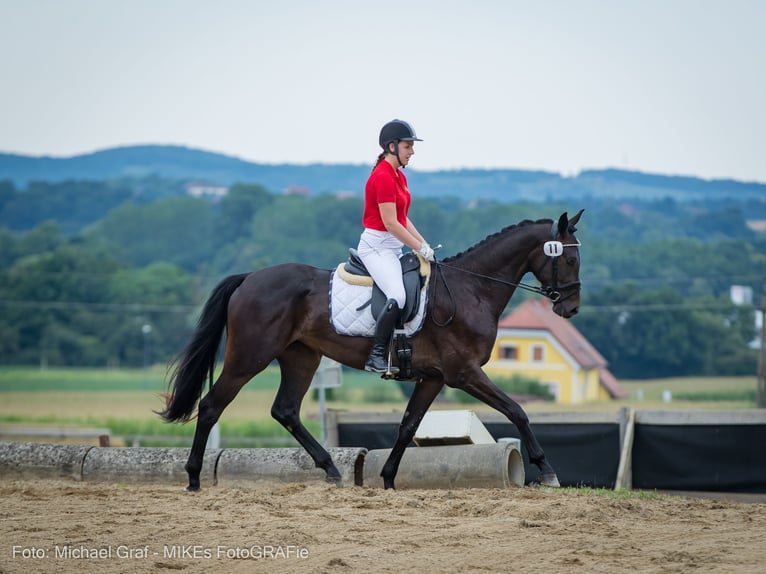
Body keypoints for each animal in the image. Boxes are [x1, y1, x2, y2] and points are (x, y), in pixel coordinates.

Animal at [159, 210, 584, 490]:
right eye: (569, 257)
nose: (571, 308)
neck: (470, 290)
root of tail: (250, 278)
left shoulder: (433, 377)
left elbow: (408, 425)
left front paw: (389, 479)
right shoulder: (464, 373)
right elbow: (517, 410)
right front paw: (547, 471)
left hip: (301, 357)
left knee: (285, 410)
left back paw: (331, 470)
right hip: (250, 356)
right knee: (211, 406)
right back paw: (193, 477)